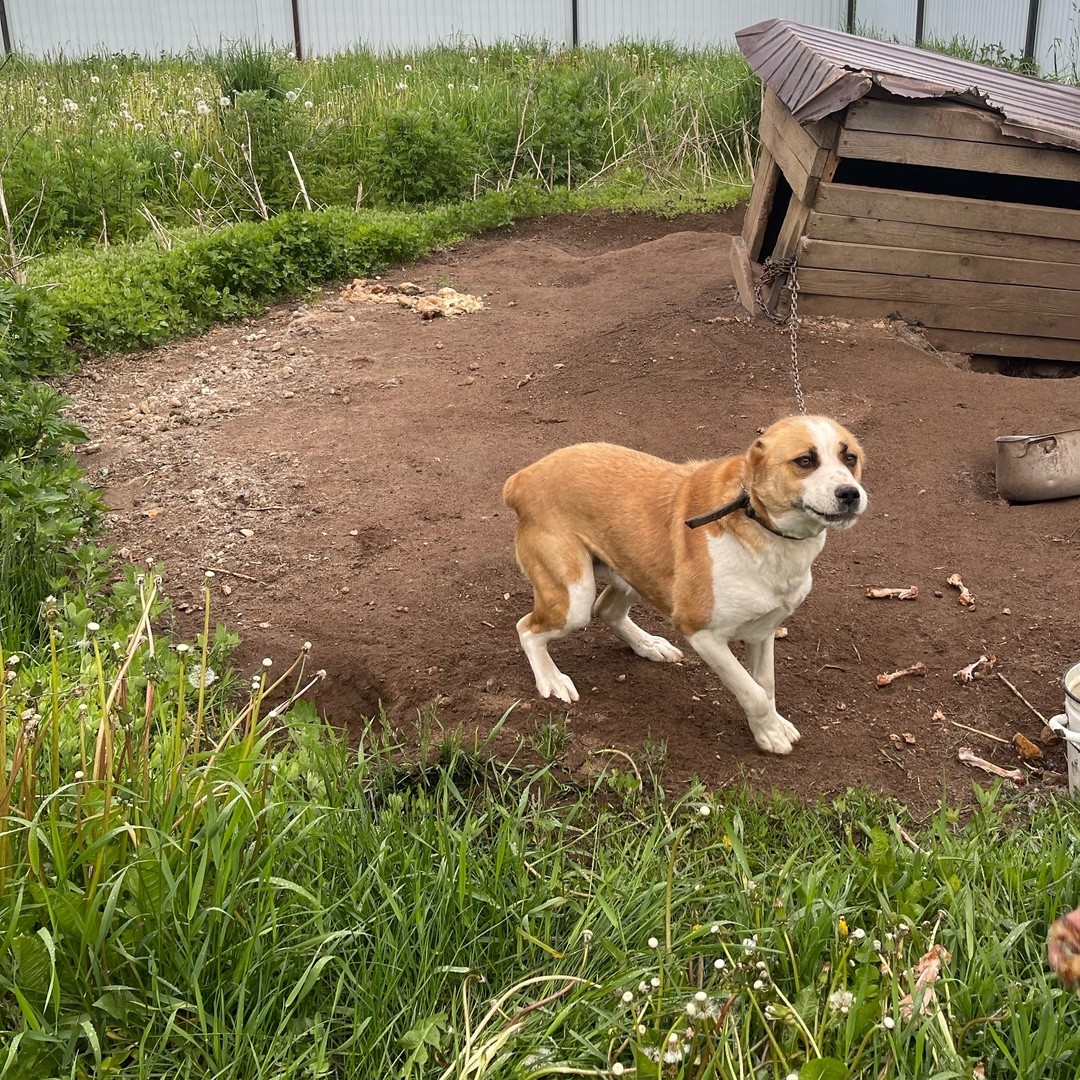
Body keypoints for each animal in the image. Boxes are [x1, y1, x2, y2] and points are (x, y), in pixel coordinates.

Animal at [501, 412, 864, 751]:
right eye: (805, 461)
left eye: (850, 458)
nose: (850, 493)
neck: (760, 525)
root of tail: (522, 478)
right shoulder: (702, 632)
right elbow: (753, 692)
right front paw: (769, 734)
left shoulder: (762, 630)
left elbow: (767, 685)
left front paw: (773, 724)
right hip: (574, 598)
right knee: (528, 629)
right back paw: (551, 679)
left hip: (636, 568)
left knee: (607, 609)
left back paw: (649, 645)